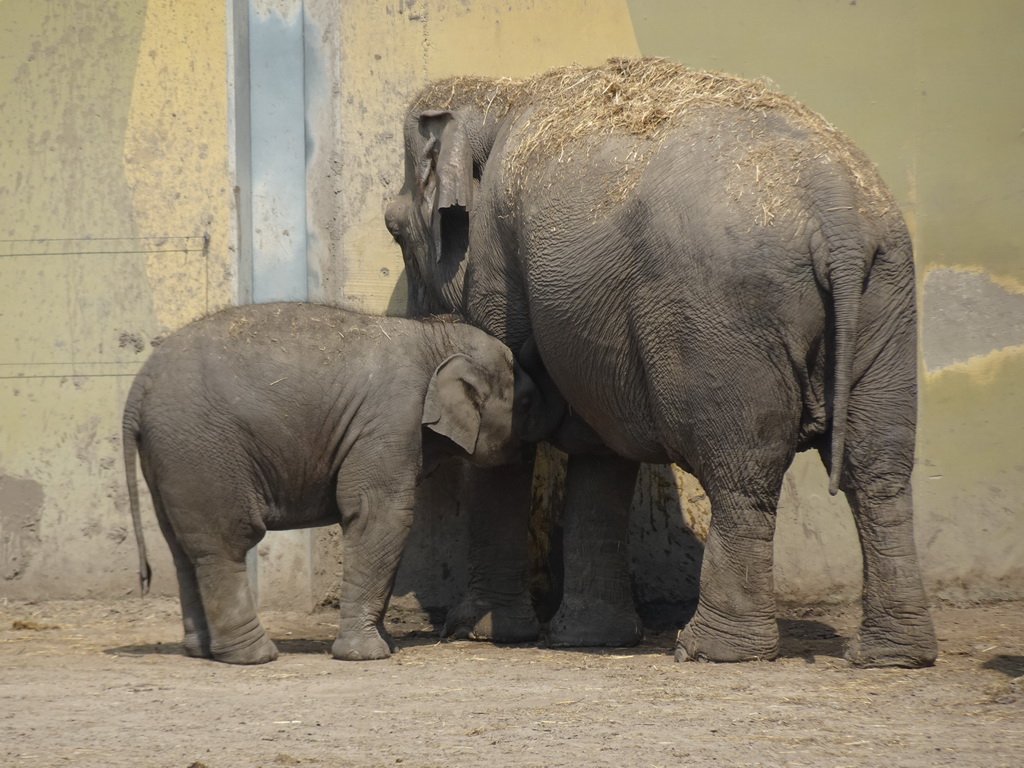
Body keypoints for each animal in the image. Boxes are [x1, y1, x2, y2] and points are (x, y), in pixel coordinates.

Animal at [123, 303, 544, 663]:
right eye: (525, 403)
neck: (434, 337)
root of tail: (137, 389)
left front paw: (386, 646)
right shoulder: (391, 418)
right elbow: (379, 513)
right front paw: (366, 655)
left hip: (171, 461)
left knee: (183, 551)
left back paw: (201, 652)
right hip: (204, 453)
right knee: (225, 544)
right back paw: (255, 656)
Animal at [385, 58, 937, 667]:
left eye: (393, 228)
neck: (502, 95)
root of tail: (836, 211)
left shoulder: (495, 258)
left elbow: (510, 439)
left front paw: (478, 632)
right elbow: (600, 447)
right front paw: (588, 639)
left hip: (727, 319)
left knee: (743, 472)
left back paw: (710, 649)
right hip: (887, 302)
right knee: (878, 467)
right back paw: (890, 654)